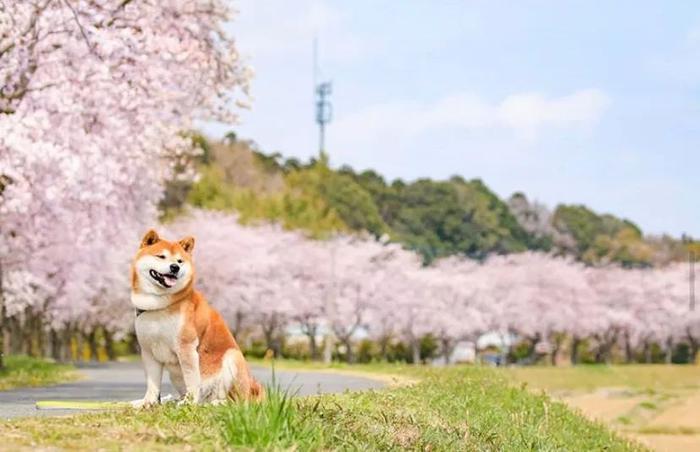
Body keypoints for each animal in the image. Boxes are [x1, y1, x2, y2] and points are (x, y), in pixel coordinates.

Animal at [130, 230, 264, 406]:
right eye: (161, 256)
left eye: (179, 261)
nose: (175, 267)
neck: (159, 305)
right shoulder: (148, 350)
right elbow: (152, 384)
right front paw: (148, 403)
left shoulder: (186, 346)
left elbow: (191, 379)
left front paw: (189, 402)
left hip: (233, 358)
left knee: (238, 401)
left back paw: (215, 403)